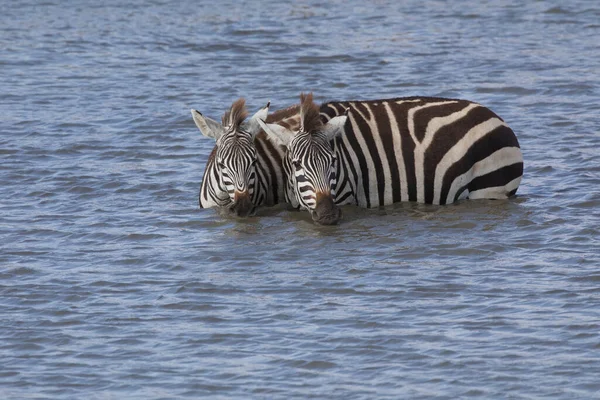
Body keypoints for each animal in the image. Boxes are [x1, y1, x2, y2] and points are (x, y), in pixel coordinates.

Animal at [260, 93, 524, 225]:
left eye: (333, 162)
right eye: (296, 164)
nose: (328, 215)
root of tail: (498, 119)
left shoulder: (347, 197)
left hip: (489, 189)